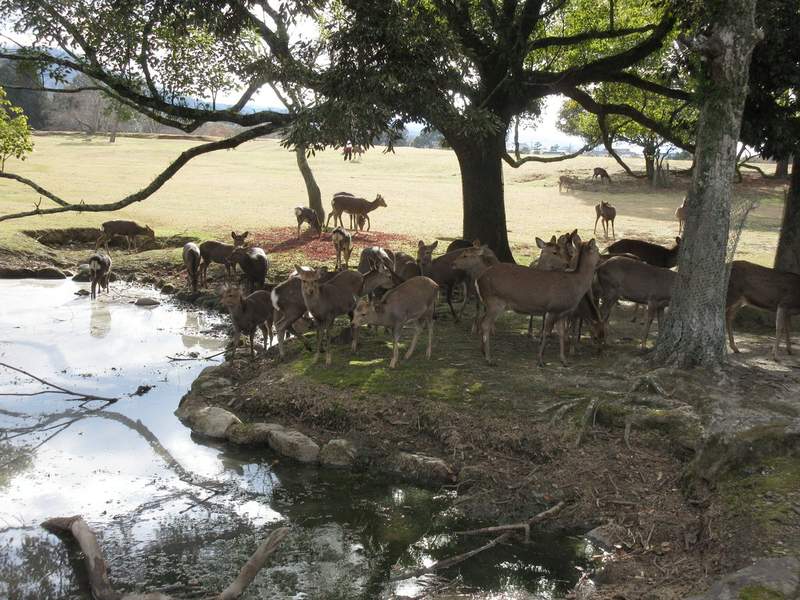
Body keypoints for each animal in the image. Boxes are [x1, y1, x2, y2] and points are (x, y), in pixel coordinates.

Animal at [476, 235, 600, 366]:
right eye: (597, 249)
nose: (601, 259)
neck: (576, 285)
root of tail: (478, 280)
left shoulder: (562, 311)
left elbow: (561, 333)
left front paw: (564, 360)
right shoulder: (553, 308)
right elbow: (546, 332)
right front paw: (540, 360)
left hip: (487, 302)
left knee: (481, 320)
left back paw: (483, 351)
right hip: (495, 301)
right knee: (485, 324)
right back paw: (489, 359)